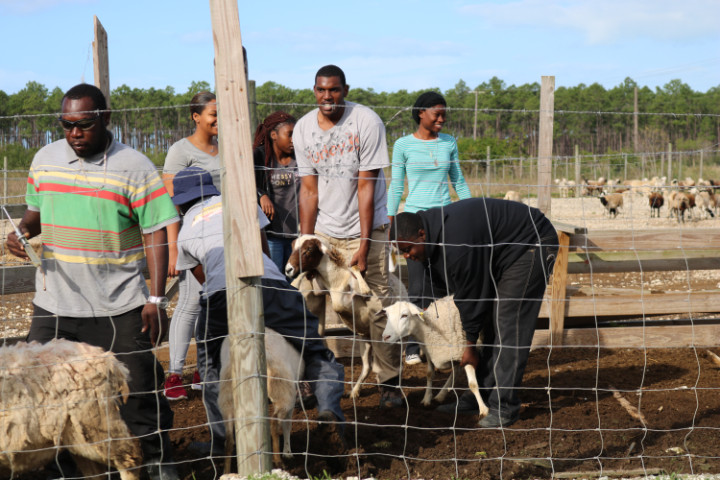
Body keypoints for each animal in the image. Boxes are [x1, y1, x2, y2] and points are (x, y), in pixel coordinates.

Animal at [217, 328, 300, 470]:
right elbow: (287, 425)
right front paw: (288, 453)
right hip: (283, 391)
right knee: (274, 424)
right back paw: (278, 460)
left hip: (226, 399)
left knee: (228, 439)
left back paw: (226, 471)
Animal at [382, 296, 490, 424]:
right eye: (387, 316)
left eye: (404, 315)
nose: (385, 337)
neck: (431, 328)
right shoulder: (430, 353)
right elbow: (429, 374)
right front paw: (427, 399)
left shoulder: (465, 353)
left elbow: (472, 384)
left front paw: (483, 410)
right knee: (456, 370)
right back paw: (441, 395)